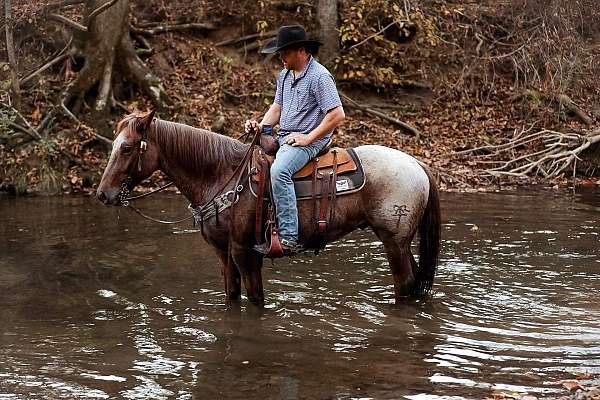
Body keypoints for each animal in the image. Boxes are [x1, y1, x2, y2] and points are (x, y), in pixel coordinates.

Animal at [97, 111, 440, 304]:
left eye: (127, 148)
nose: (102, 194)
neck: (220, 175)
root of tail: (416, 163)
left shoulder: (245, 252)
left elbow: (255, 299)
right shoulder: (223, 252)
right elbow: (232, 295)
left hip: (394, 241)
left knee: (406, 284)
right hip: (401, 242)